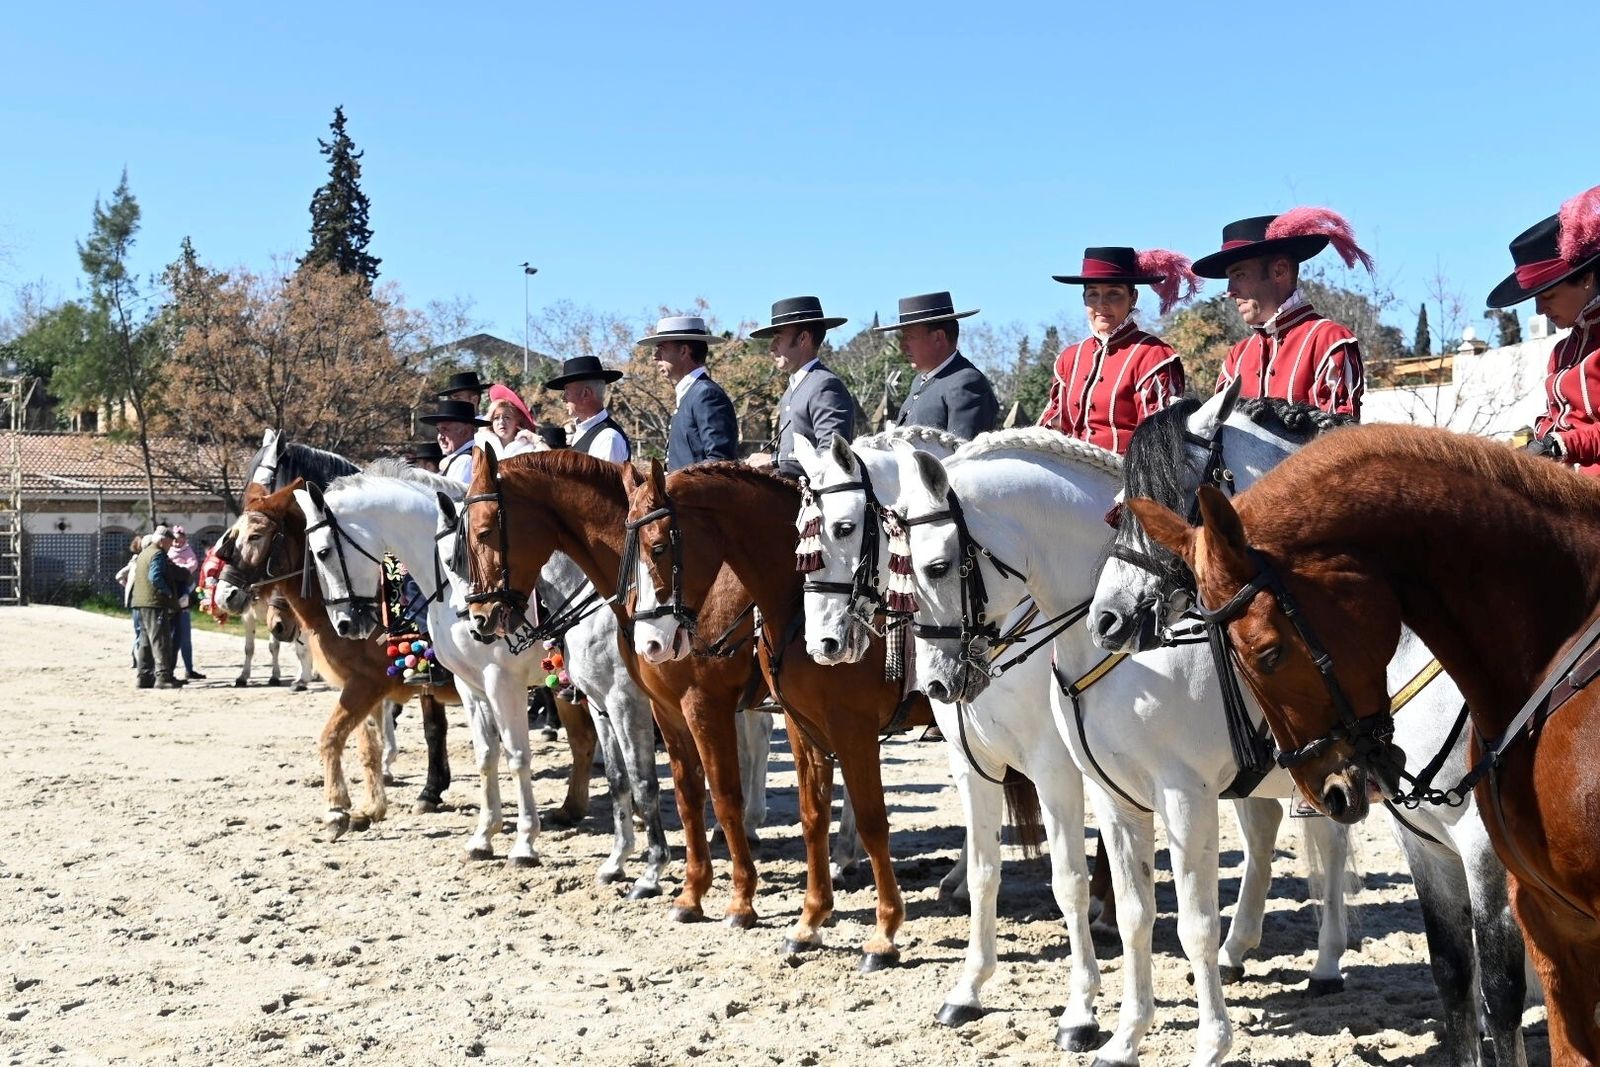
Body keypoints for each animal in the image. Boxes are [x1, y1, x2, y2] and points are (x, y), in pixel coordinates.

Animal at [293, 461, 667, 893]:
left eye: (322, 552)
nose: (345, 623)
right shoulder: (469, 686)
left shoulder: (501, 683)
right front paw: (483, 837)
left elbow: (517, 756)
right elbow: (486, 755)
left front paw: (524, 844)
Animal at [461, 448, 772, 927]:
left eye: (483, 532)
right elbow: (619, 779)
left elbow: (647, 784)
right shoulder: (604, 705)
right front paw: (619, 861)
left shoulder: (636, 704)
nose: (480, 620)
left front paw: (653, 870)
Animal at [891, 427, 1354, 1067]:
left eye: (935, 566)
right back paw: (1238, 953)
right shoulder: (1000, 772)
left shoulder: (1121, 783)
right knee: (1265, 835)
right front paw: (973, 993)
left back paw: (1327, 964)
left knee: (1330, 845)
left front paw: (1086, 1017)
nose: (936, 682)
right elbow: (1006, 877)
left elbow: (1095, 891)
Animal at [1131, 424, 1600, 1065]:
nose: (1325, 788)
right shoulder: (1429, 849)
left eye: (1268, 652)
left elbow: (1500, 991)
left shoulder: (1488, 858)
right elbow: (1454, 976)